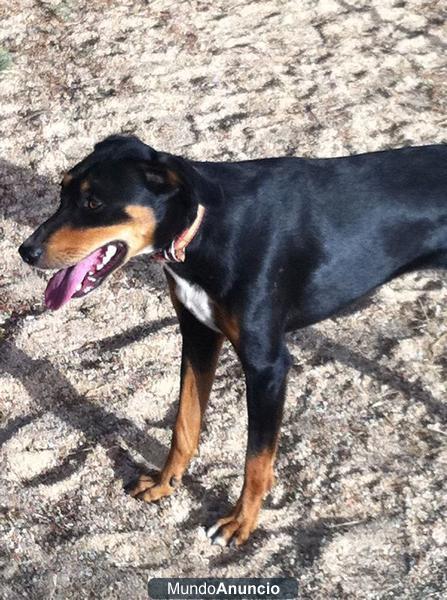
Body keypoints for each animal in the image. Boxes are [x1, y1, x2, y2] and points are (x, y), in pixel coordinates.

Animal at [19, 137, 447, 548]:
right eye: (62, 192)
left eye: (93, 203)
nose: (26, 251)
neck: (207, 228)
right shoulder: (198, 335)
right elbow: (185, 425)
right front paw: (164, 483)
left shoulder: (267, 366)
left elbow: (255, 459)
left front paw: (241, 522)